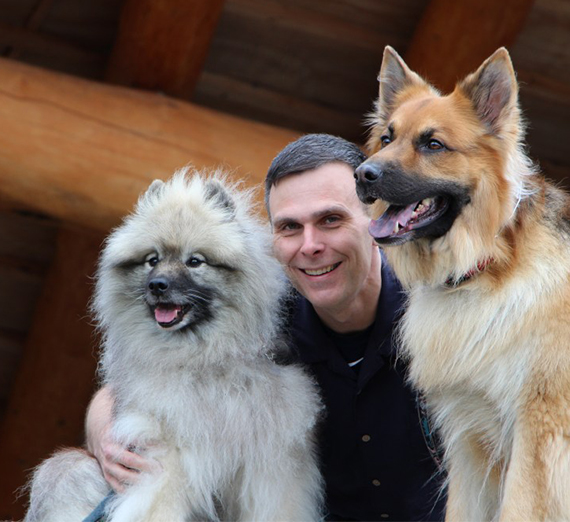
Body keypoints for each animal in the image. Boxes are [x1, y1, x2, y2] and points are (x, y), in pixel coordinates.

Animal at [24, 170, 322, 520]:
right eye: (152, 260)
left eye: (195, 261)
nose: (157, 285)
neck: (206, 362)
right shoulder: (167, 460)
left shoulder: (272, 467)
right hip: (71, 471)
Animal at [356, 46, 568, 516]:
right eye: (387, 139)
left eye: (433, 144)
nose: (361, 174)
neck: (487, 264)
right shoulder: (472, 444)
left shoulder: (538, 440)